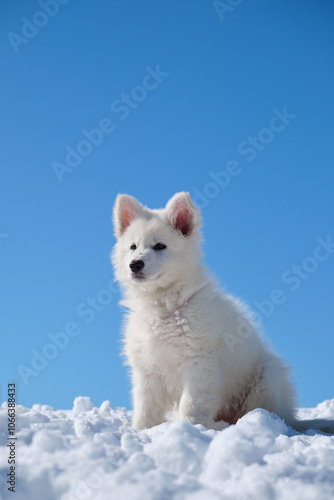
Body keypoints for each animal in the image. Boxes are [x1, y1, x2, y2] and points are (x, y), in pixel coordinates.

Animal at [111, 192, 328, 434]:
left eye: (160, 246)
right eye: (133, 246)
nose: (135, 264)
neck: (164, 304)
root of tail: (292, 417)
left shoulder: (199, 362)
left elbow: (192, 403)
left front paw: (190, 428)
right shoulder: (147, 368)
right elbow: (146, 406)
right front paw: (142, 430)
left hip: (266, 378)